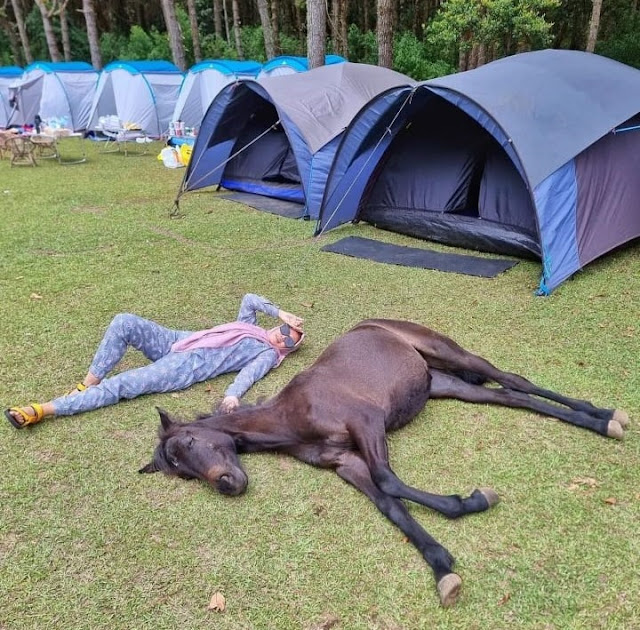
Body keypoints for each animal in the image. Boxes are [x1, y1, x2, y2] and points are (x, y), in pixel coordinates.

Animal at [140, 320, 632, 608]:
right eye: (182, 472)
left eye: (190, 442)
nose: (227, 483)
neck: (291, 418)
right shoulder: (346, 464)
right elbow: (389, 505)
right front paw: (442, 569)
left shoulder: (367, 423)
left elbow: (390, 482)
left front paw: (469, 501)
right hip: (445, 384)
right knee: (510, 396)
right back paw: (597, 420)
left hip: (449, 353)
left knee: (515, 380)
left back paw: (606, 415)